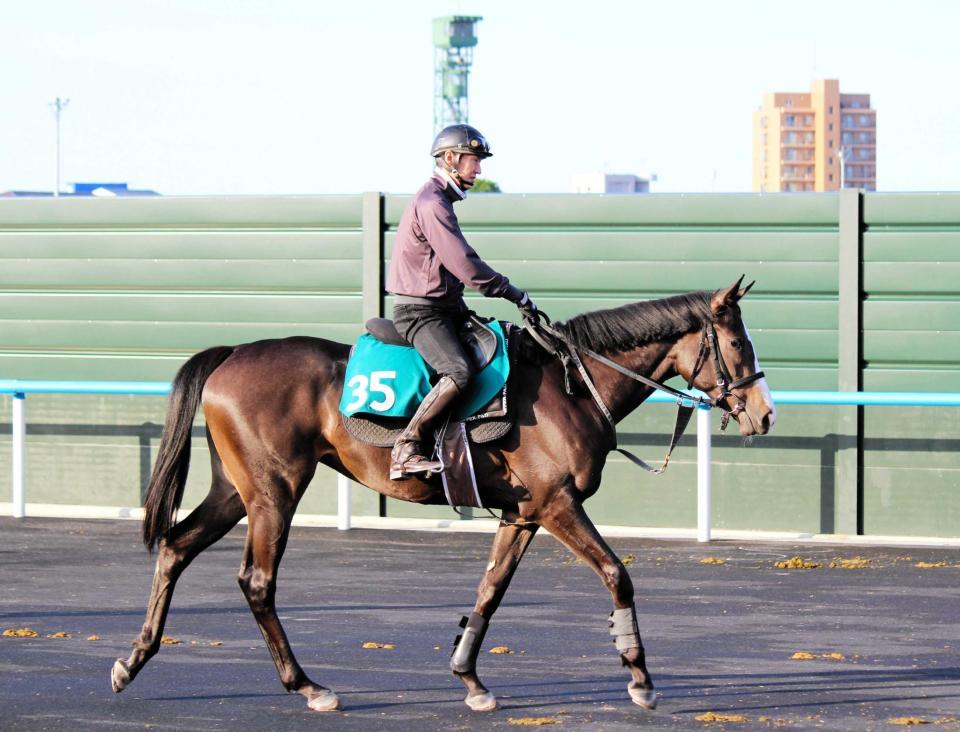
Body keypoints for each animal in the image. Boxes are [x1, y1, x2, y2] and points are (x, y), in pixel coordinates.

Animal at [110, 278, 772, 712]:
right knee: (257, 581)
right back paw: (306, 685)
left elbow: (490, 592)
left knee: (175, 546)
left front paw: (469, 678)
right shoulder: (558, 505)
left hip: (236, 490)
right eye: (739, 345)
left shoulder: (523, 515)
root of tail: (232, 355)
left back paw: (132, 660)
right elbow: (617, 574)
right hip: (275, 492)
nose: (764, 414)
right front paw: (639, 676)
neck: (573, 385)